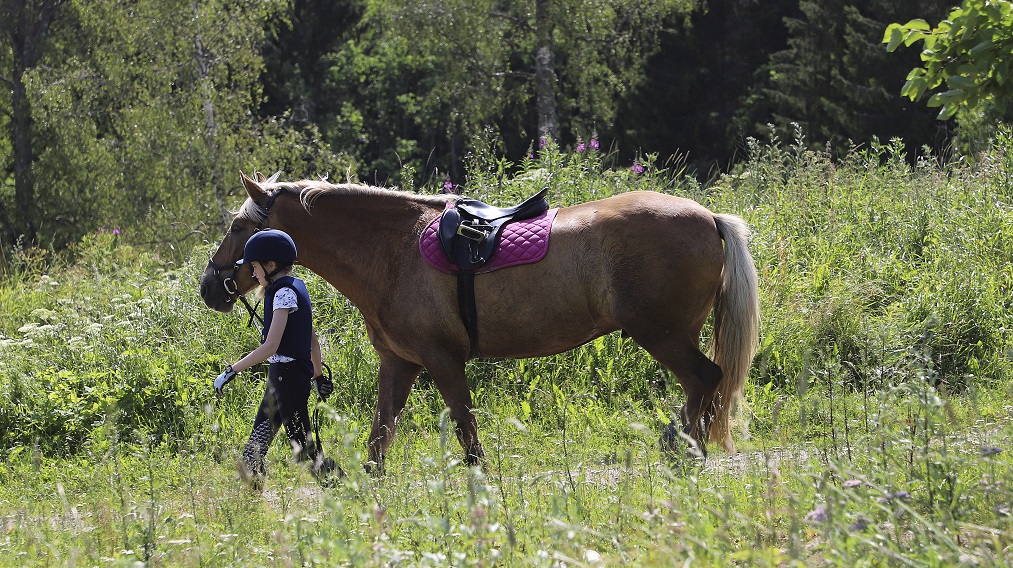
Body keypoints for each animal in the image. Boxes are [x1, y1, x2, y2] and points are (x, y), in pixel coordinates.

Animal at [197, 170, 757, 471]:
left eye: (240, 226)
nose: (209, 288)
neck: (393, 250)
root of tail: (708, 217)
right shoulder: (399, 364)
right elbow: (380, 439)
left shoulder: (442, 361)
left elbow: (468, 434)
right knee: (705, 385)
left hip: (661, 334)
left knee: (705, 379)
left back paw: (684, 448)